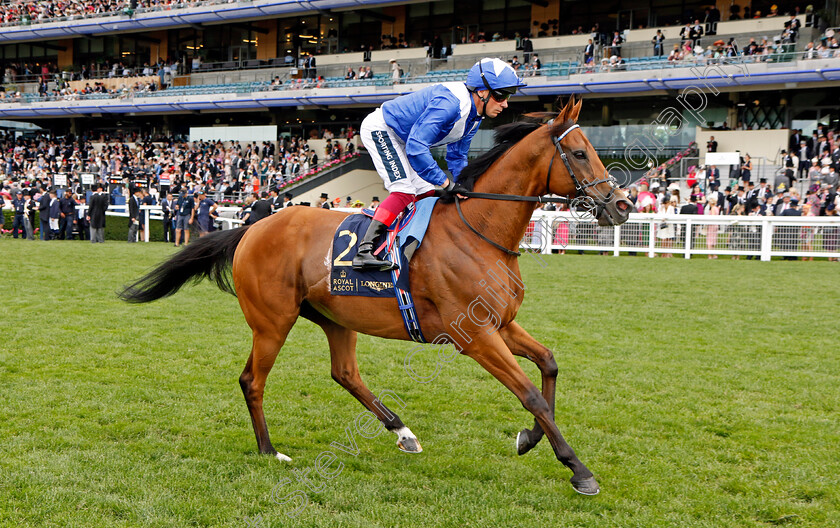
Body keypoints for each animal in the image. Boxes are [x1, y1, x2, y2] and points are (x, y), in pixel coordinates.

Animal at [118, 96, 632, 496]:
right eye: (580, 153)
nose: (622, 205)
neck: (479, 232)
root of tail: (253, 226)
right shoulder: (474, 336)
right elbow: (531, 395)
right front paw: (578, 470)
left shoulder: (500, 324)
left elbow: (548, 364)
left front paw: (529, 439)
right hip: (272, 321)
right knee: (252, 381)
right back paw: (269, 450)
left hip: (334, 317)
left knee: (344, 373)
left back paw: (402, 432)